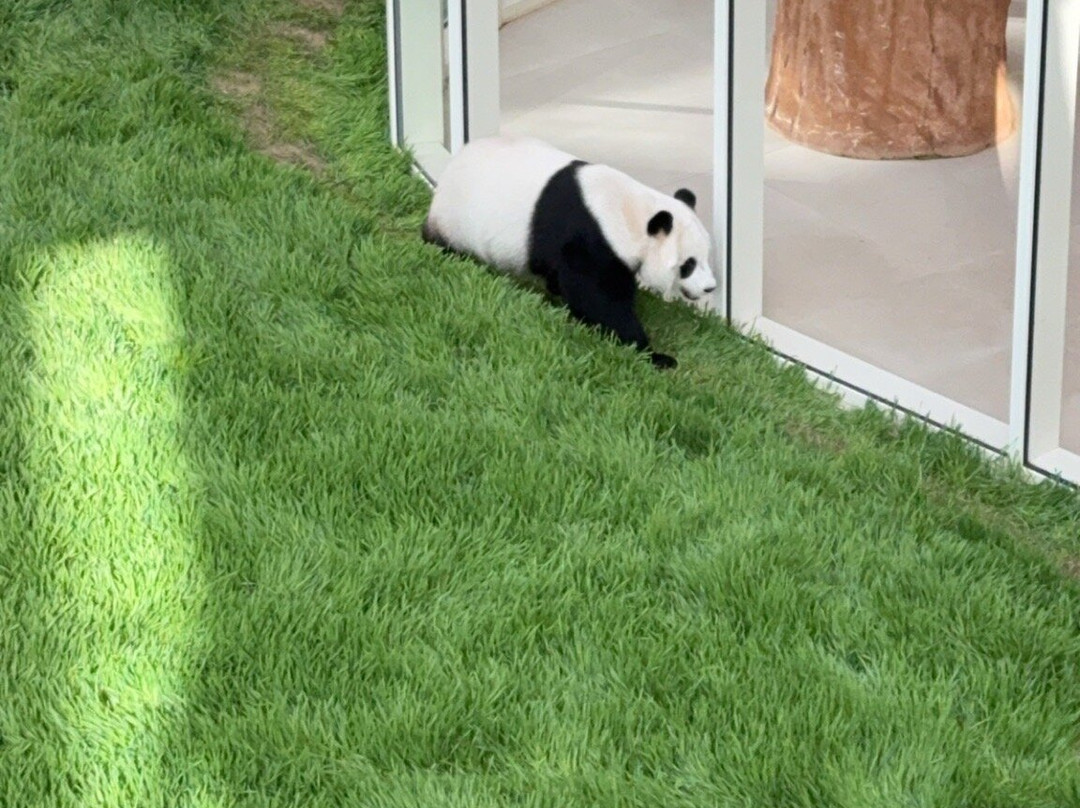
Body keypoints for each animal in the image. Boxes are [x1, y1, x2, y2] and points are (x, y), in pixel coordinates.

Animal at [421, 135, 717, 369]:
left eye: (706, 256)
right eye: (688, 264)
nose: (710, 288)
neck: (629, 211)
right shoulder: (591, 236)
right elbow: (599, 298)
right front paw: (654, 355)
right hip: (456, 221)